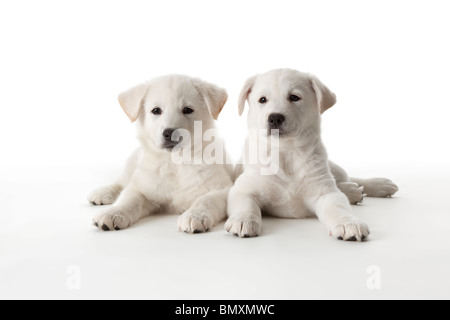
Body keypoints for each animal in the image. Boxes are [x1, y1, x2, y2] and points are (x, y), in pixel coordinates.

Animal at [89, 75, 234, 232]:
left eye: (187, 110)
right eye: (156, 110)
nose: (170, 133)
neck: (174, 162)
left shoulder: (221, 189)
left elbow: (205, 200)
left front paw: (195, 216)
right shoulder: (143, 187)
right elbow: (128, 198)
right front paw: (114, 213)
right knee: (121, 182)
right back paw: (102, 193)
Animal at [227, 69, 400, 240]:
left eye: (294, 97)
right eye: (262, 100)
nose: (275, 117)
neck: (285, 153)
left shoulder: (325, 191)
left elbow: (338, 207)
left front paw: (348, 223)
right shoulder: (243, 189)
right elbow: (245, 204)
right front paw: (243, 220)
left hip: (331, 169)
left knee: (345, 179)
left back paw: (377, 185)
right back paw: (354, 191)